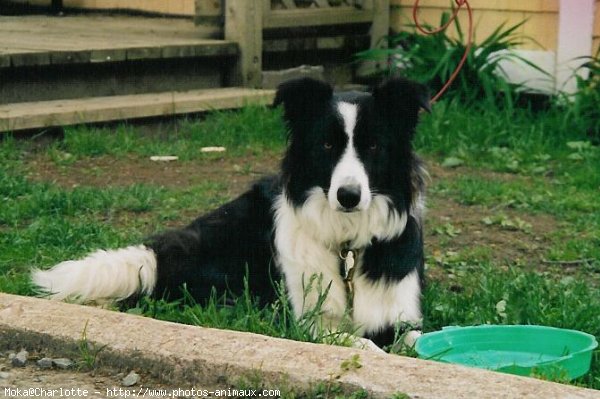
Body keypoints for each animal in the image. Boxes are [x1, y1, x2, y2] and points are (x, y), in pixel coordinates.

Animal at [30, 78, 428, 350]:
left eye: (373, 146)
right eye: (327, 145)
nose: (348, 196)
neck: (347, 243)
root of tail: (159, 254)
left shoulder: (403, 317)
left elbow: (415, 341)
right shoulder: (307, 320)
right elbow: (365, 344)